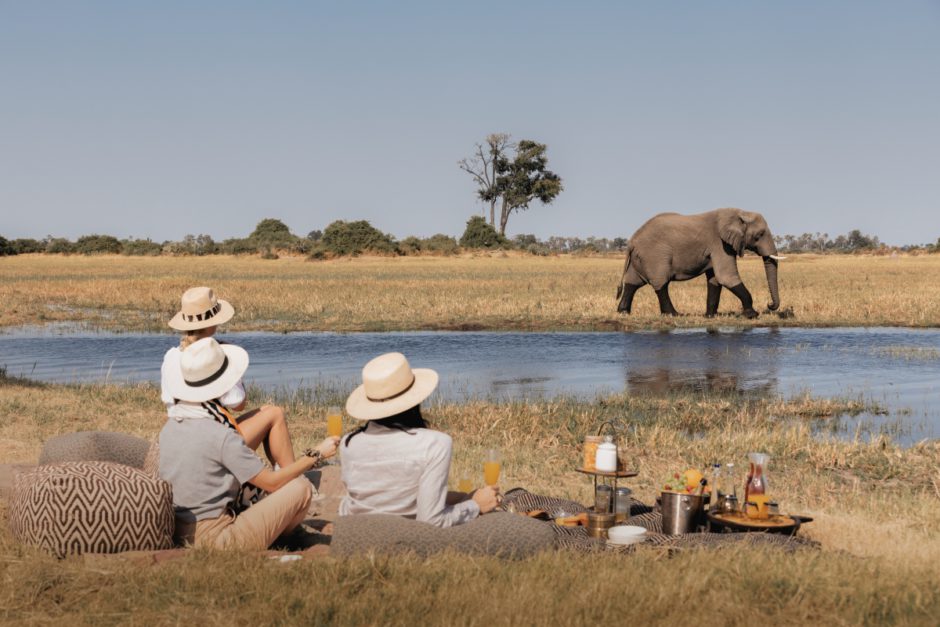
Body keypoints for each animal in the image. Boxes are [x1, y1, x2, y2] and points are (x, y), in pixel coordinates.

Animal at [616, 209, 784, 318]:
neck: (739, 213)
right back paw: (674, 315)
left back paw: (623, 312)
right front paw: (752, 315)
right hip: (654, 256)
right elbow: (726, 277)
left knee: (633, 282)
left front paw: (710, 316)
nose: (769, 305)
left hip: (640, 258)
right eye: (759, 235)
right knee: (661, 283)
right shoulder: (719, 244)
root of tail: (632, 241)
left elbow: (715, 280)